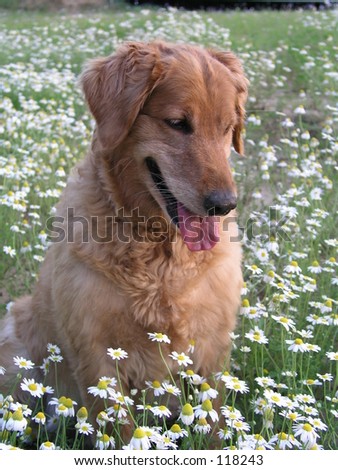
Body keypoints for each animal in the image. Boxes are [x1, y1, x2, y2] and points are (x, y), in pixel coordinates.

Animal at [0, 43, 248, 434]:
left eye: (228, 128)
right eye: (177, 123)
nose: (223, 204)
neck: (159, 252)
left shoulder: (213, 346)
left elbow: (217, 425)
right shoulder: (97, 353)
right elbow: (121, 429)